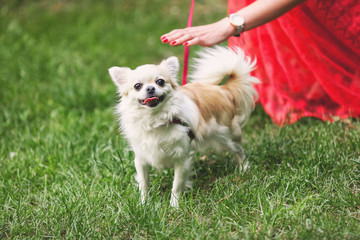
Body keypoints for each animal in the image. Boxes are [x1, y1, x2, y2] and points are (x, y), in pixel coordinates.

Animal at [108, 46, 260, 207]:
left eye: (160, 82)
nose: (150, 88)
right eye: (137, 86)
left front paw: (174, 205)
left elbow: (177, 184)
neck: (155, 120)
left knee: (239, 151)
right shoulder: (141, 159)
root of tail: (223, 89)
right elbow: (144, 184)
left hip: (228, 137)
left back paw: (245, 168)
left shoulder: (182, 158)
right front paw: (144, 204)